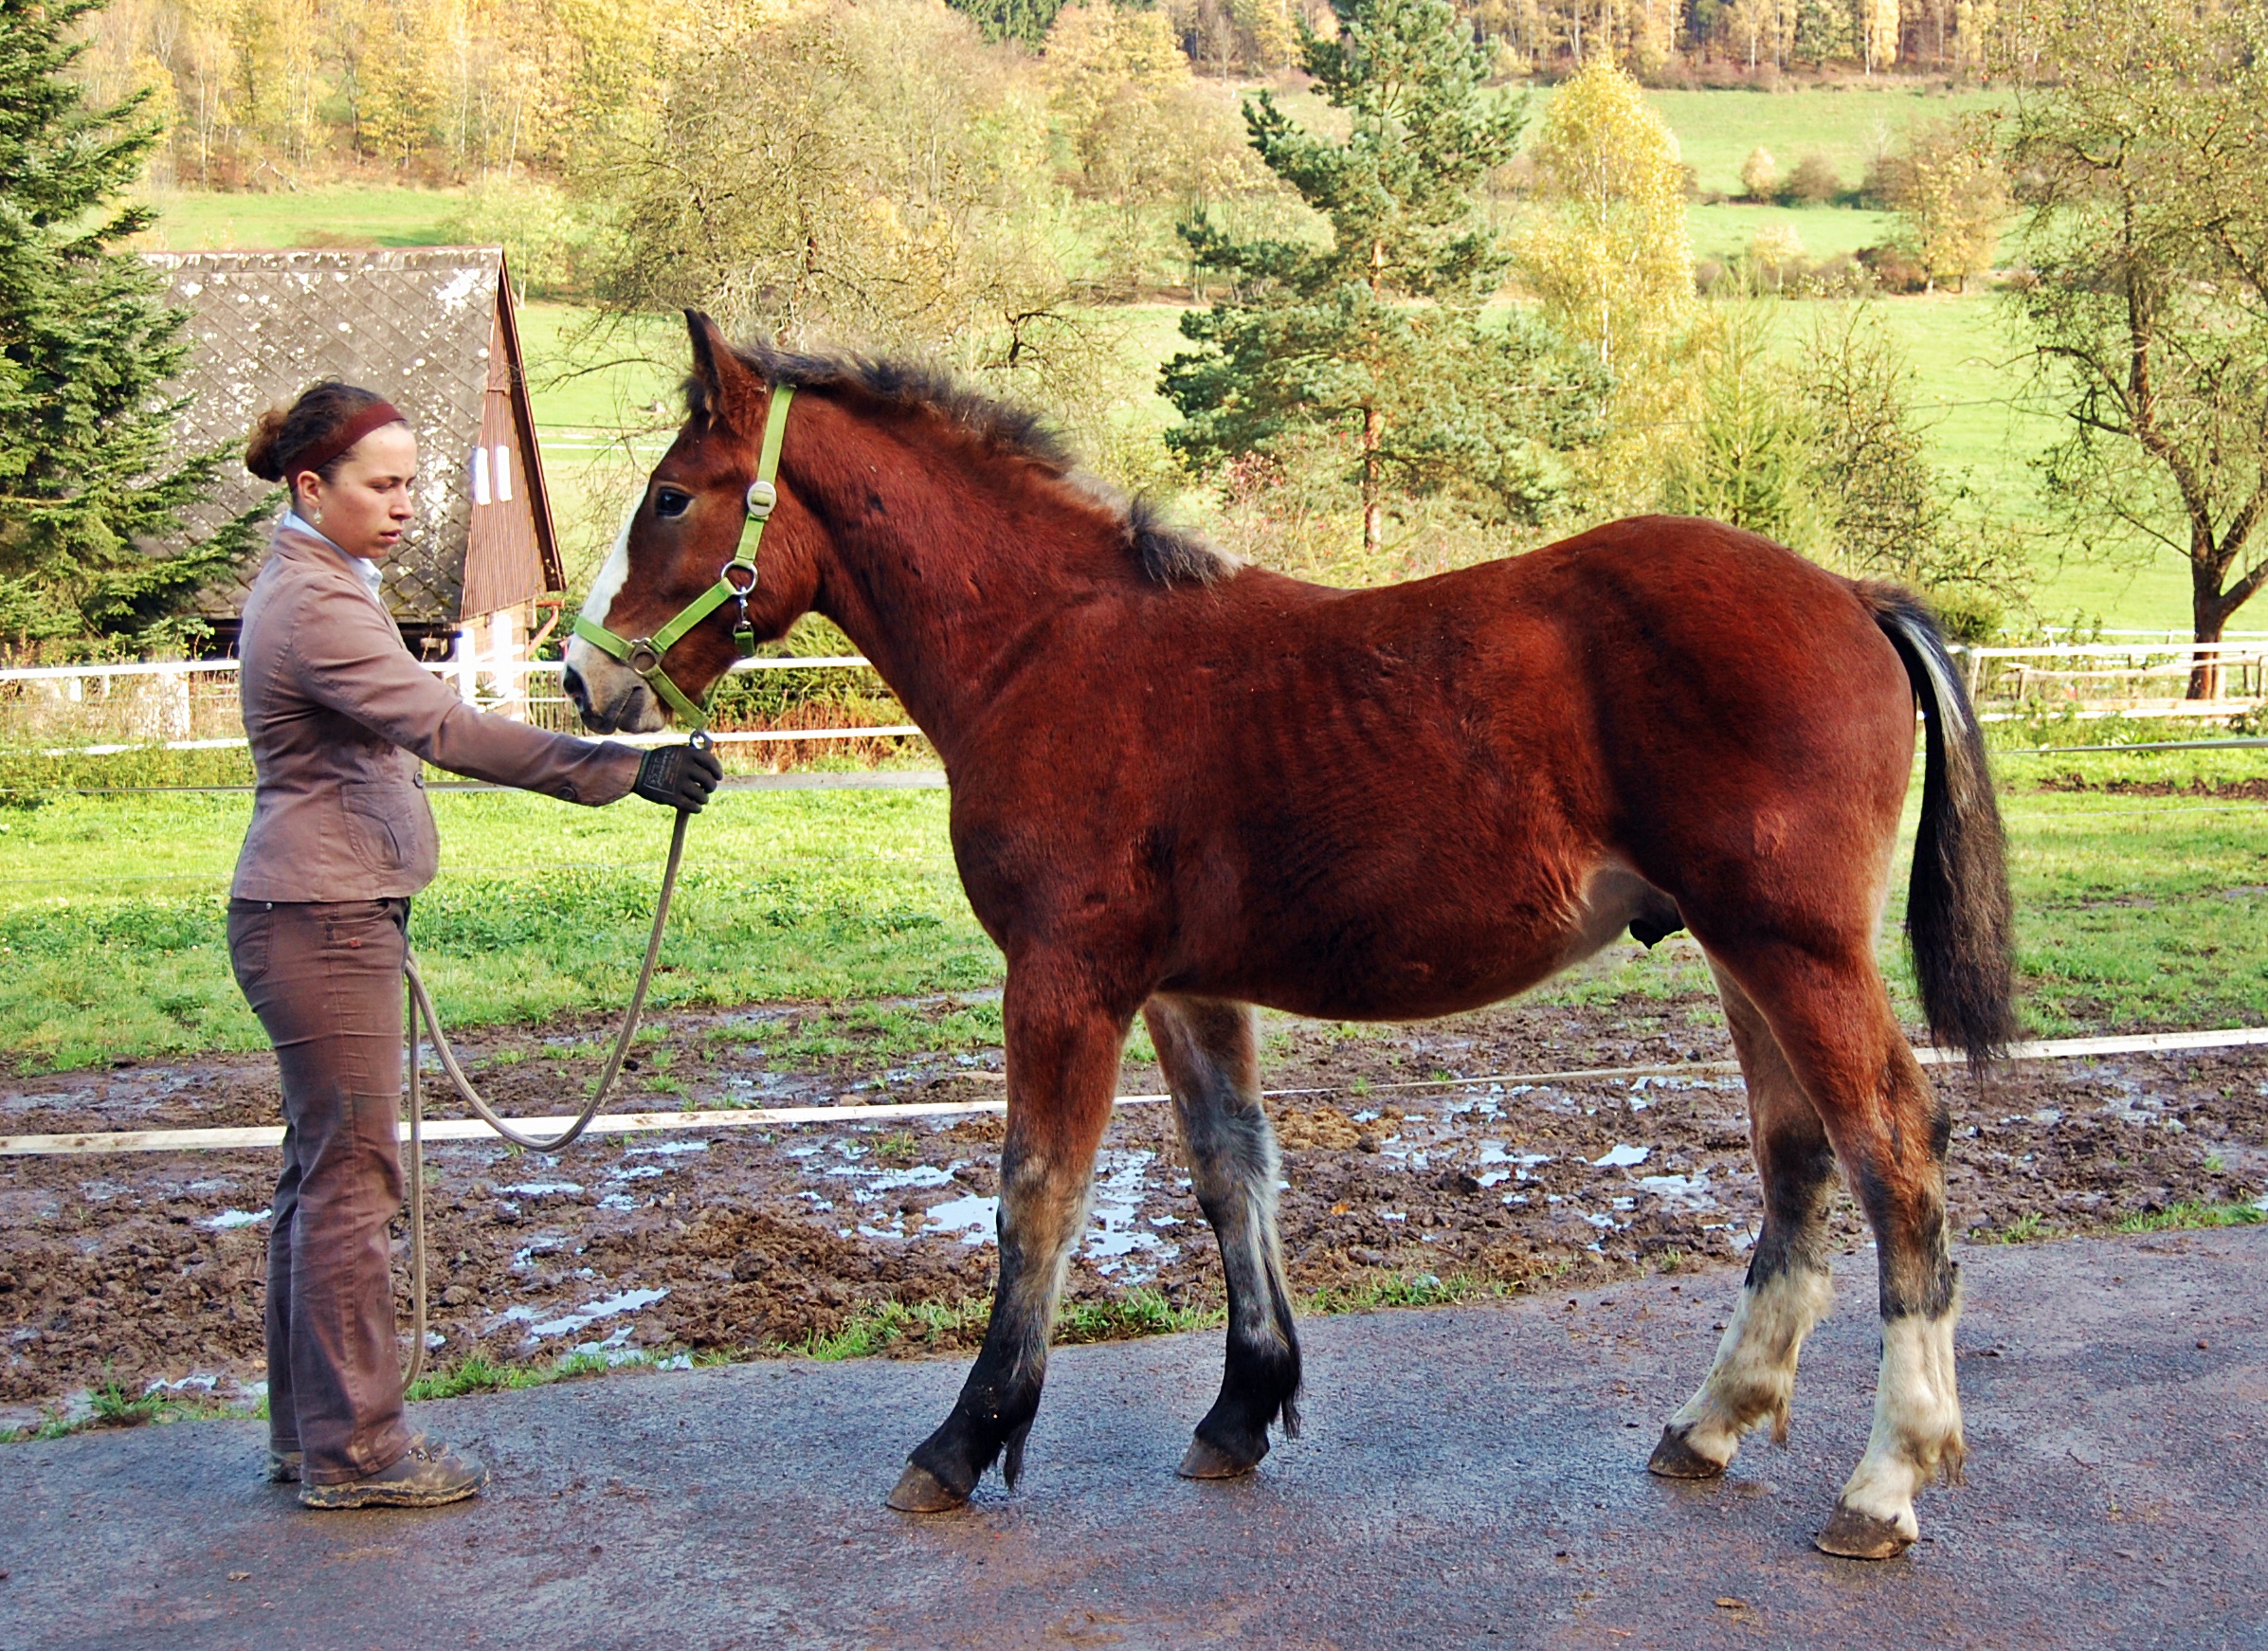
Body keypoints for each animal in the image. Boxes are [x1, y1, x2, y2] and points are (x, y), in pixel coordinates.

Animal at [572, 313, 2023, 1560]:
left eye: (670, 495)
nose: (586, 677)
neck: (1045, 647)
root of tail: (1847, 593)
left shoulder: (1064, 980)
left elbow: (1036, 1196)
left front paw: (962, 1440)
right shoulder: (1181, 989)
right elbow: (1231, 1173)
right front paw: (1239, 1408)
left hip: (1792, 947)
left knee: (1893, 1146)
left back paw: (1884, 1479)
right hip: (1741, 953)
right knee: (1797, 1158)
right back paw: (1711, 1423)